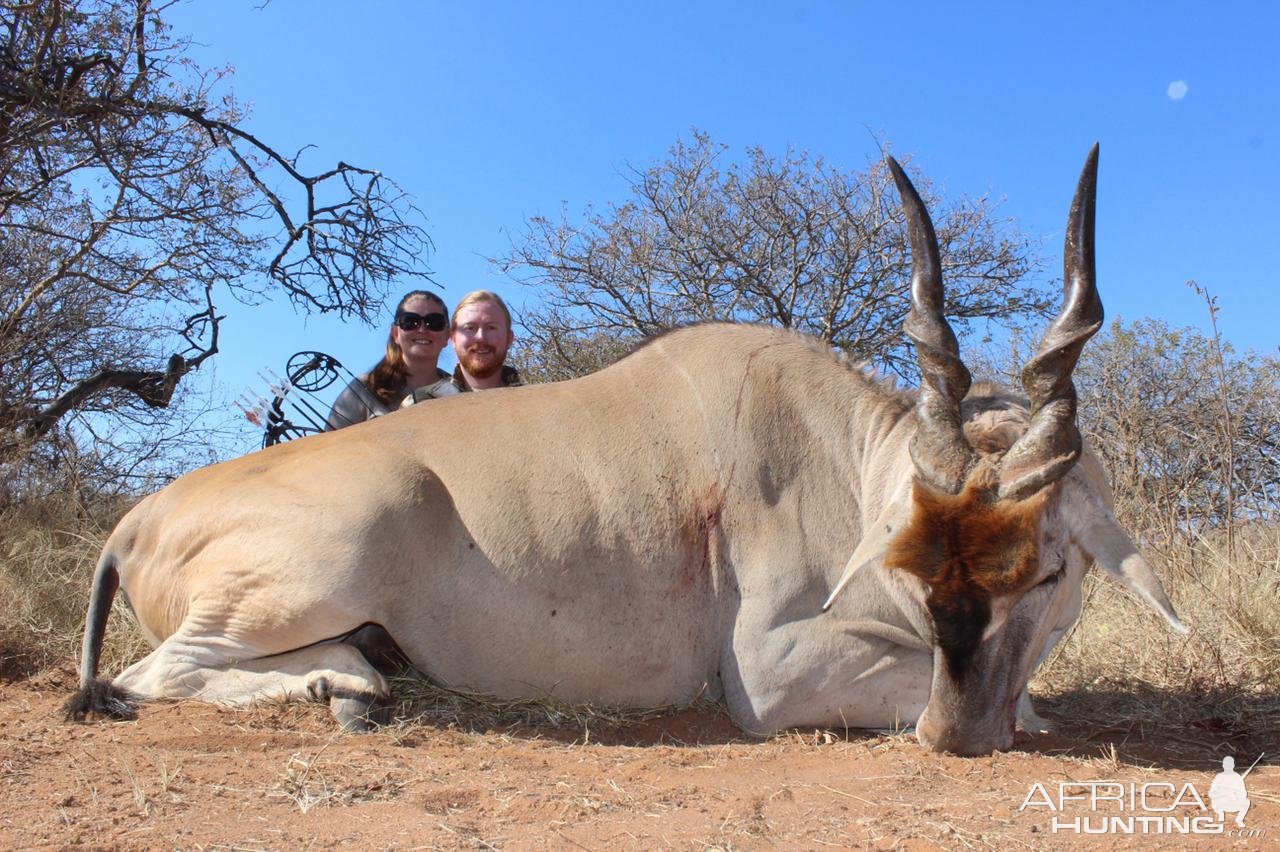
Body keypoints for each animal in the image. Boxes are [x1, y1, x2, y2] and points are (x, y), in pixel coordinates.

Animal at [70, 144, 1182, 752]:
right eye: (918, 563)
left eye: (1047, 572)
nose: (954, 737)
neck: (843, 460)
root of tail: (135, 521)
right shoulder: (769, 673)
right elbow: (1028, 707)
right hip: (336, 551)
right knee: (149, 676)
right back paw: (338, 689)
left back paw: (347, 685)